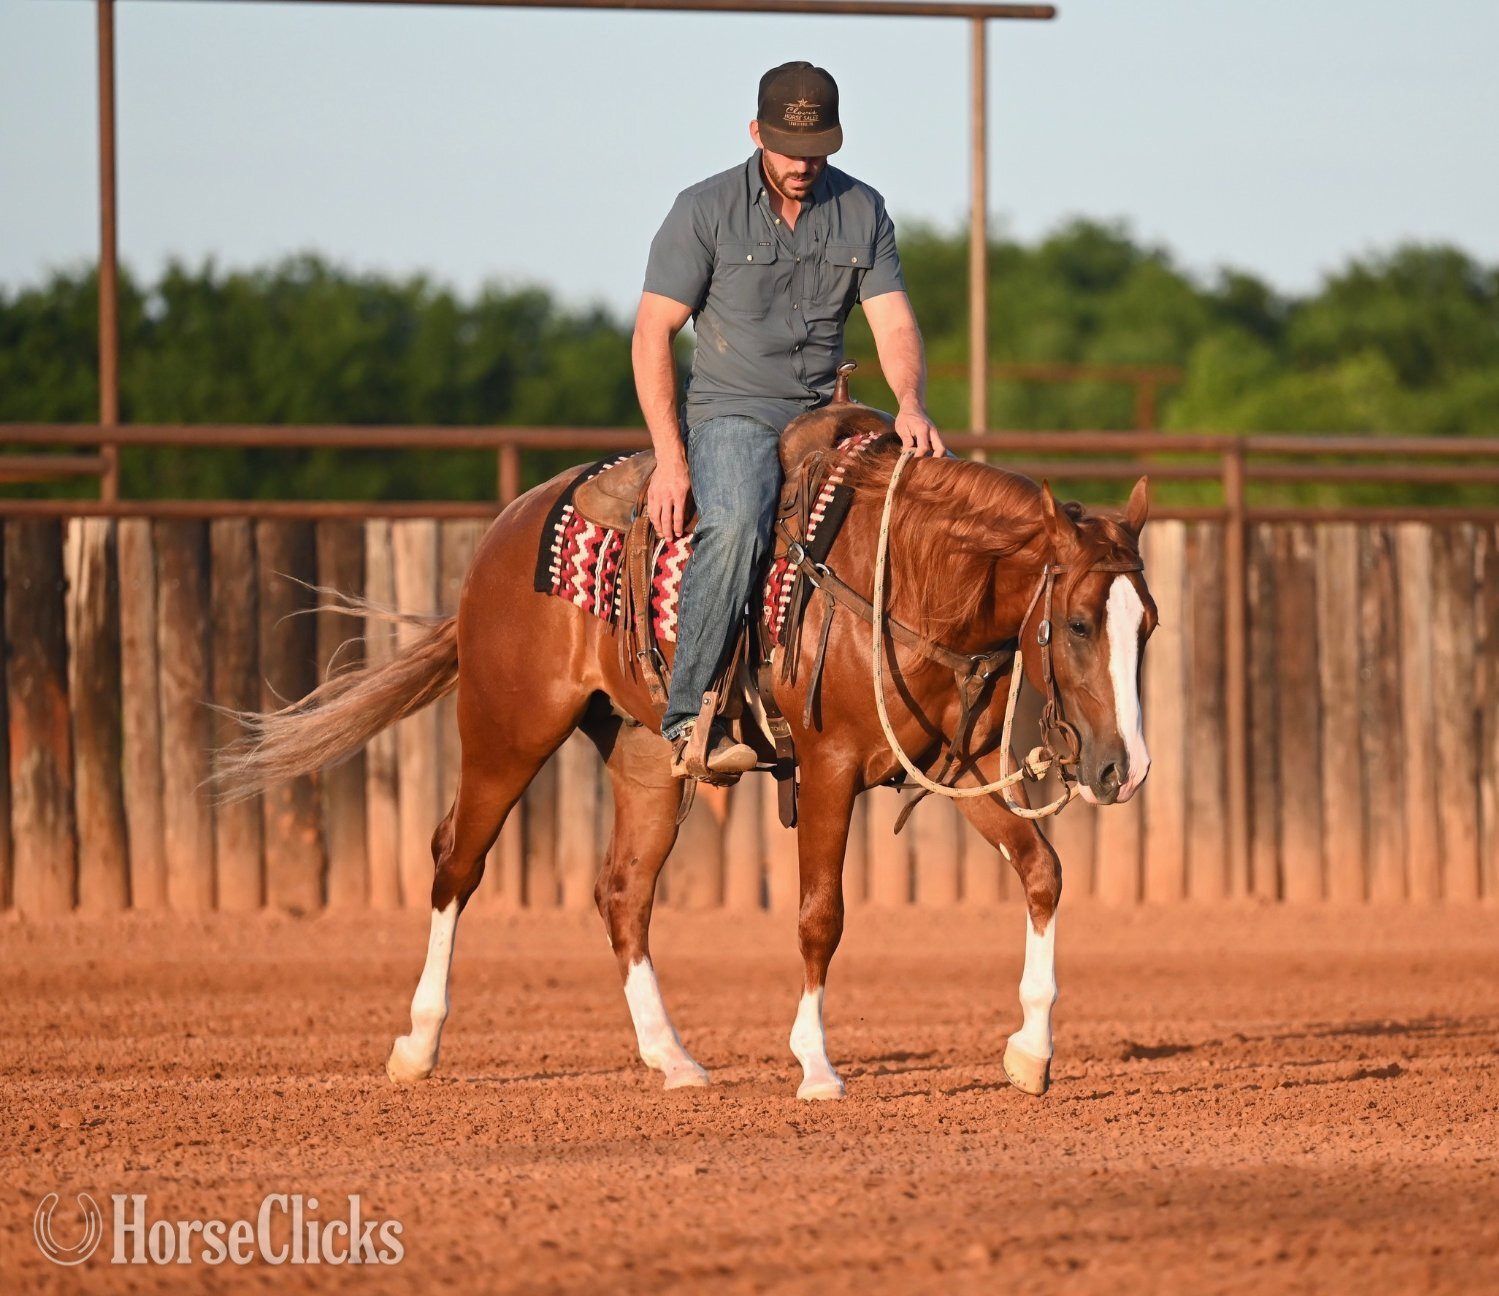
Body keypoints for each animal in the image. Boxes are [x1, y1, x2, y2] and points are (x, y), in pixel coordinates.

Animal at [216, 429, 1155, 1101]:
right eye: (1077, 623)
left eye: (1143, 624)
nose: (1125, 769)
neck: (907, 578)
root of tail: (508, 527)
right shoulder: (828, 769)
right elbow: (820, 915)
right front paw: (816, 1067)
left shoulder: (957, 771)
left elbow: (1042, 872)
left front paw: (1031, 1050)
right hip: (505, 731)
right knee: (457, 860)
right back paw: (418, 1044)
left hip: (642, 760)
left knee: (622, 892)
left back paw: (670, 1057)